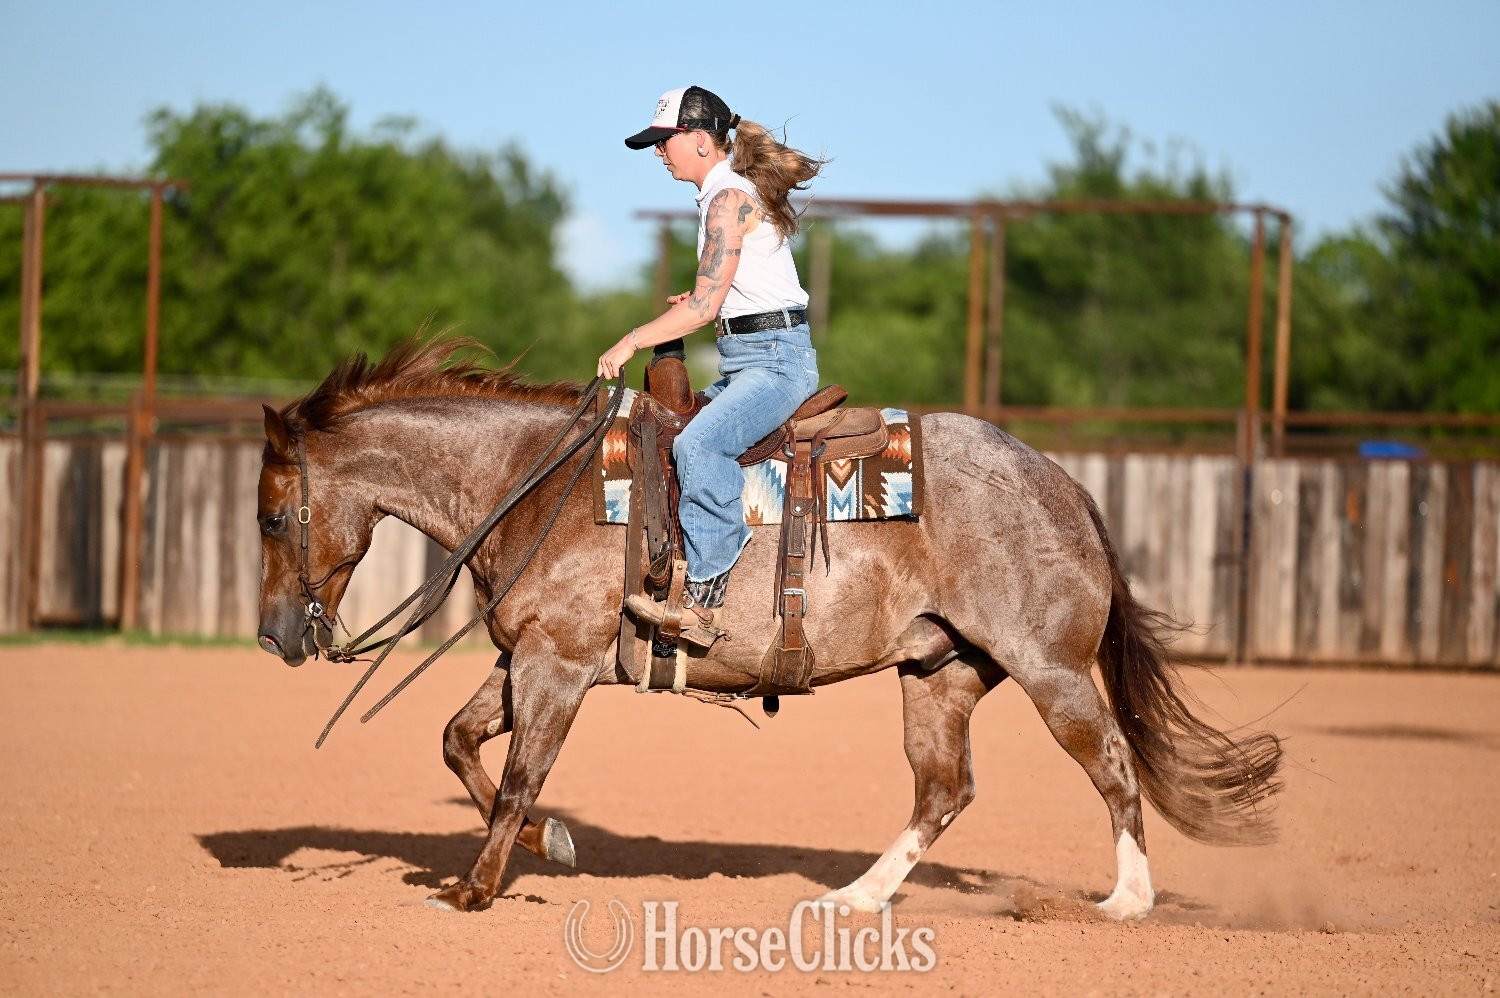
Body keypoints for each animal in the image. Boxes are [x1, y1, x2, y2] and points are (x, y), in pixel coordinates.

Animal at [255, 337, 1282, 916]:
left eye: (269, 516)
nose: (273, 637)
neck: (536, 480)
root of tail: (1062, 483)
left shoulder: (558, 664)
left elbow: (516, 778)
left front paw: (476, 887)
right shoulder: (527, 657)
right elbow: (457, 742)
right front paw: (554, 845)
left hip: (1051, 669)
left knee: (1109, 763)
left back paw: (1127, 902)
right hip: (942, 672)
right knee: (943, 789)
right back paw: (856, 899)